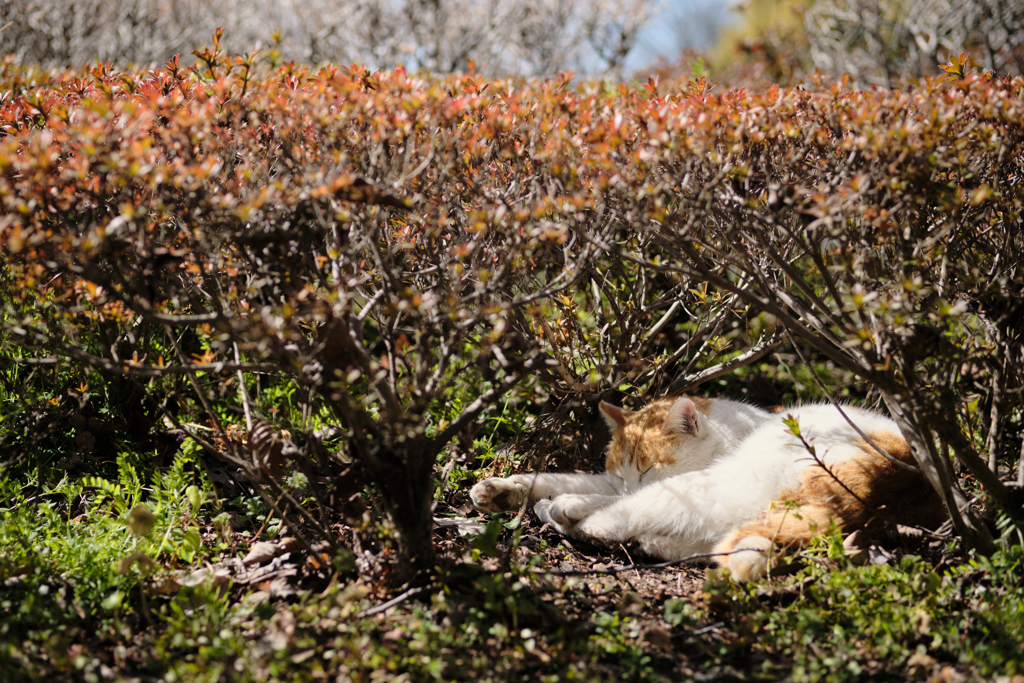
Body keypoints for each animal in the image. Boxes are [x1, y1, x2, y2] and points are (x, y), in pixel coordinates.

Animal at [468, 395, 946, 581]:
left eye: (646, 470)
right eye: (621, 472)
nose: (627, 486)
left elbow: (589, 494)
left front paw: (561, 502)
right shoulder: (606, 480)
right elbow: (558, 474)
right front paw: (499, 488)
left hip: (718, 486)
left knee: (614, 520)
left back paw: (561, 513)